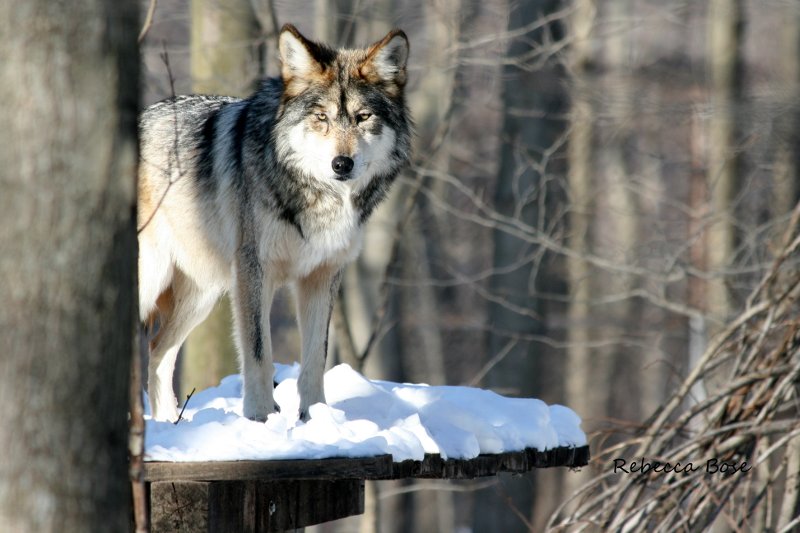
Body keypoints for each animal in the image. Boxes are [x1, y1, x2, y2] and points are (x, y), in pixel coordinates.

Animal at [138, 24, 411, 422]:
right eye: (321, 117)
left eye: (363, 117)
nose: (341, 164)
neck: (317, 197)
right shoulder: (254, 272)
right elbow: (259, 353)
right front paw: (260, 418)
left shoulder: (322, 276)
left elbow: (315, 358)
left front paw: (315, 419)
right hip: (153, 280)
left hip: (202, 294)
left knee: (158, 351)